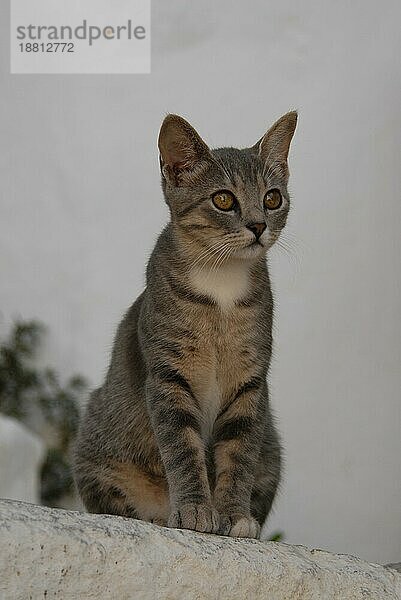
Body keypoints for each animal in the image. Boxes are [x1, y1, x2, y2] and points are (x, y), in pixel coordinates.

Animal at [72, 109, 296, 540]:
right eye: (223, 199)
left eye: (272, 198)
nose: (259, 225)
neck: (221, 289)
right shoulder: (167, 376)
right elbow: (182, 447)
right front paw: (194, 510)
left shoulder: (250, 384)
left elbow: (239, 453)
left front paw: (233, 515)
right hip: (97, 443)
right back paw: (159, 516)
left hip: (273, 446)